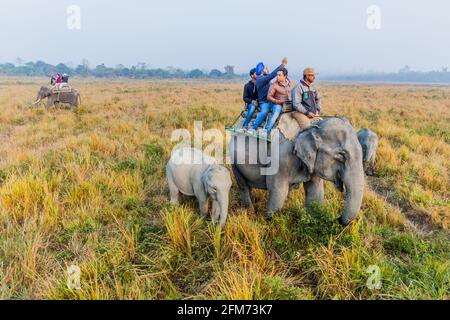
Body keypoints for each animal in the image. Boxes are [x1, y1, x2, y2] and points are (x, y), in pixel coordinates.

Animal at [230, 117, 364, 225]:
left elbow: (315, 192)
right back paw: (249, 211)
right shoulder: (280, 160)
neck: (311, 127)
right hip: (233, 161)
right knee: (243, 185)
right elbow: (278, 192)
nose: (338, 219)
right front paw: (268, 222)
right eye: (342, 155)